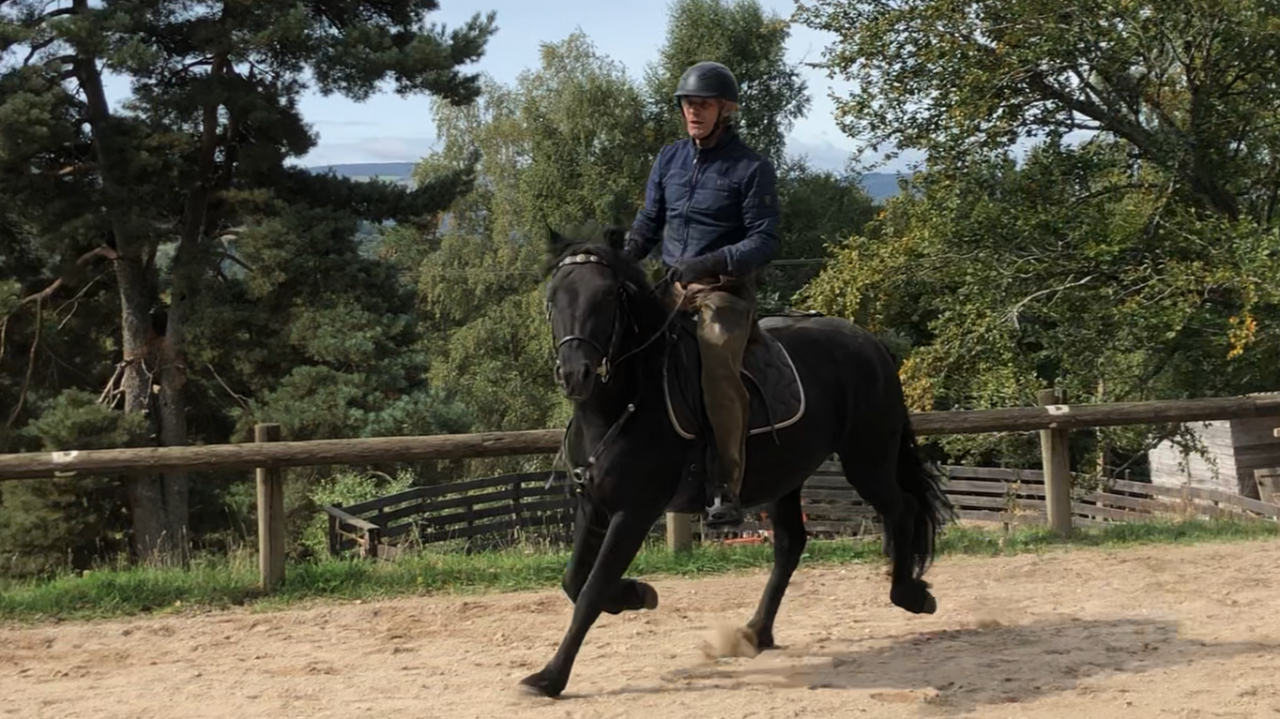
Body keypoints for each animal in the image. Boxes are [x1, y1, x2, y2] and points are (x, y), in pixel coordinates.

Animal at [521, 224, 954, 698]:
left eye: (606, 297)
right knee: (790, 544)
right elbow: (574, 581)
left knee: (903, 509)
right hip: (788, 475)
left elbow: (592, 591)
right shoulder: (594, 503)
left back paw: (911, 595)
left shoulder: (634, 511)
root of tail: (869, 343)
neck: (627, 402)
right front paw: (637, 593)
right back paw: (756, 632)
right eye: (554, 296)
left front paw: (549, 677)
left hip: (868, 460)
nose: (575, 374)